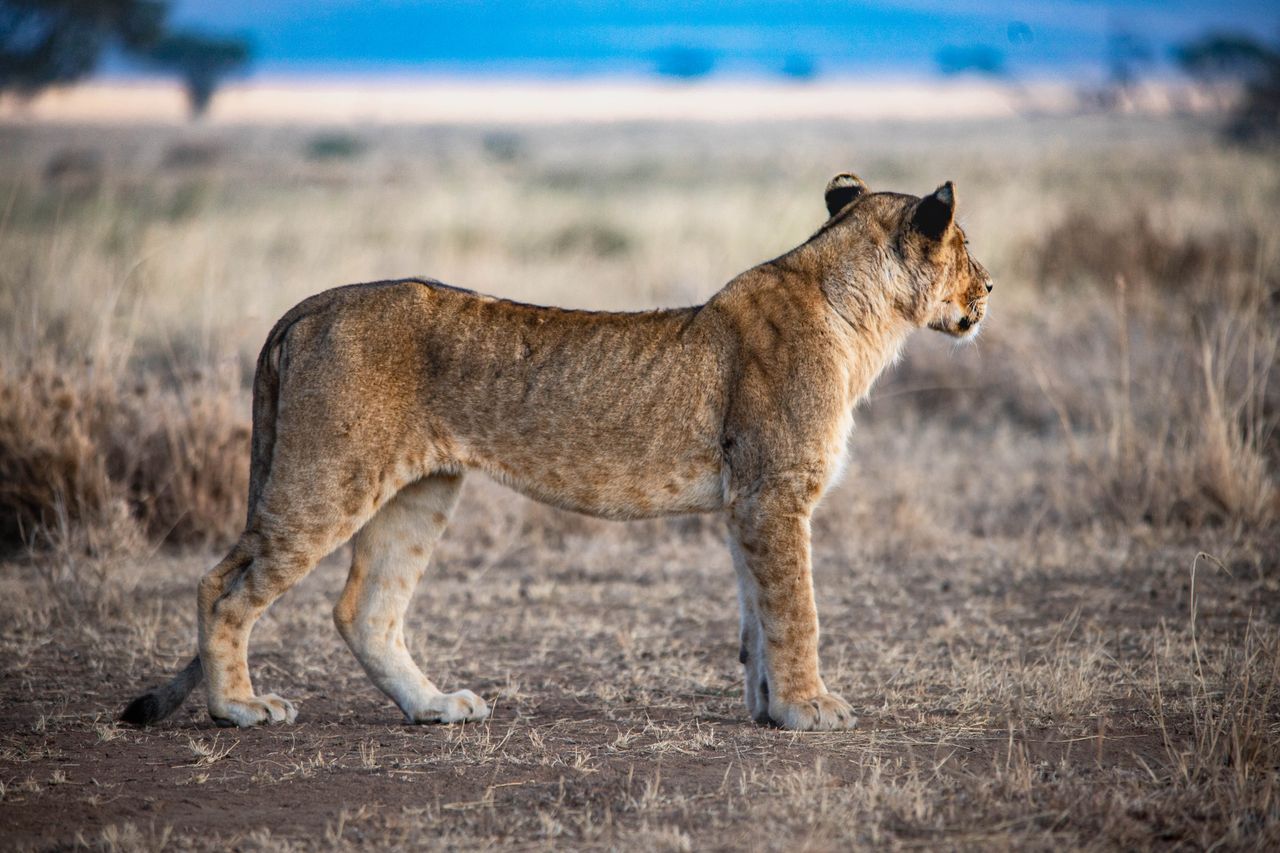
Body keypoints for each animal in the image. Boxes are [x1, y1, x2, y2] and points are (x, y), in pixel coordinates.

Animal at [121, 173, 992, 732]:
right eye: (965, 246)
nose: (990, 290)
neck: (862, 318)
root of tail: (307, 304)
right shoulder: (775, 492)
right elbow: (797, 610)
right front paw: (813, 708)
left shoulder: (747, 502)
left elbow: (757, 616)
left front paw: (770, 708)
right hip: (325, 479)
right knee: (220, 586)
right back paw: (239, 707)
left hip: (421, 491)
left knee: (364, 608)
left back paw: (434, 707)